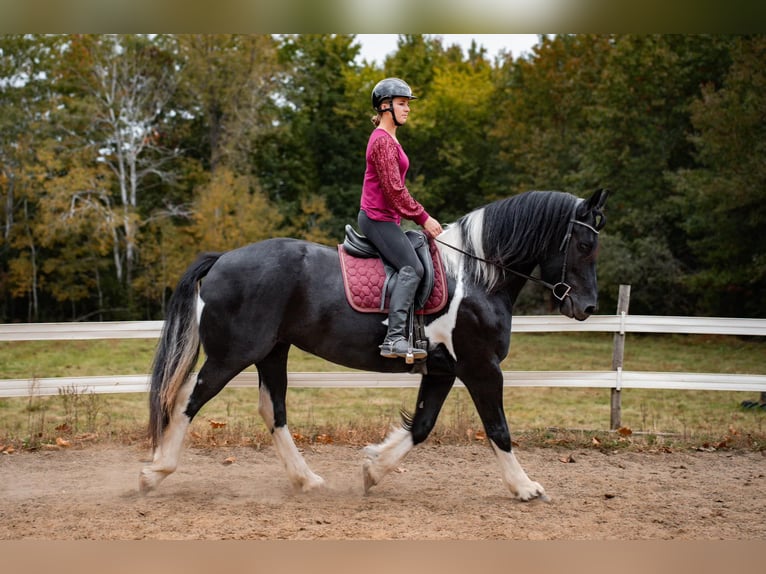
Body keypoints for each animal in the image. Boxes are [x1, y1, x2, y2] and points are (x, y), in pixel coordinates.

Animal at [141, 190, 612, 504]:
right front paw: (525, 487)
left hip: (272, 353)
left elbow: (422, 426)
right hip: (233, 355)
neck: (477, 278)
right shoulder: (481, 367)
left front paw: (373, 470)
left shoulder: (443, 370)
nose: (588, 306)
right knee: (186, 399)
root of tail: (222, 258)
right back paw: (154, 473)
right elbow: (498, 429)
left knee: (272, 411)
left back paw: (307, 480)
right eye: (584, 244)